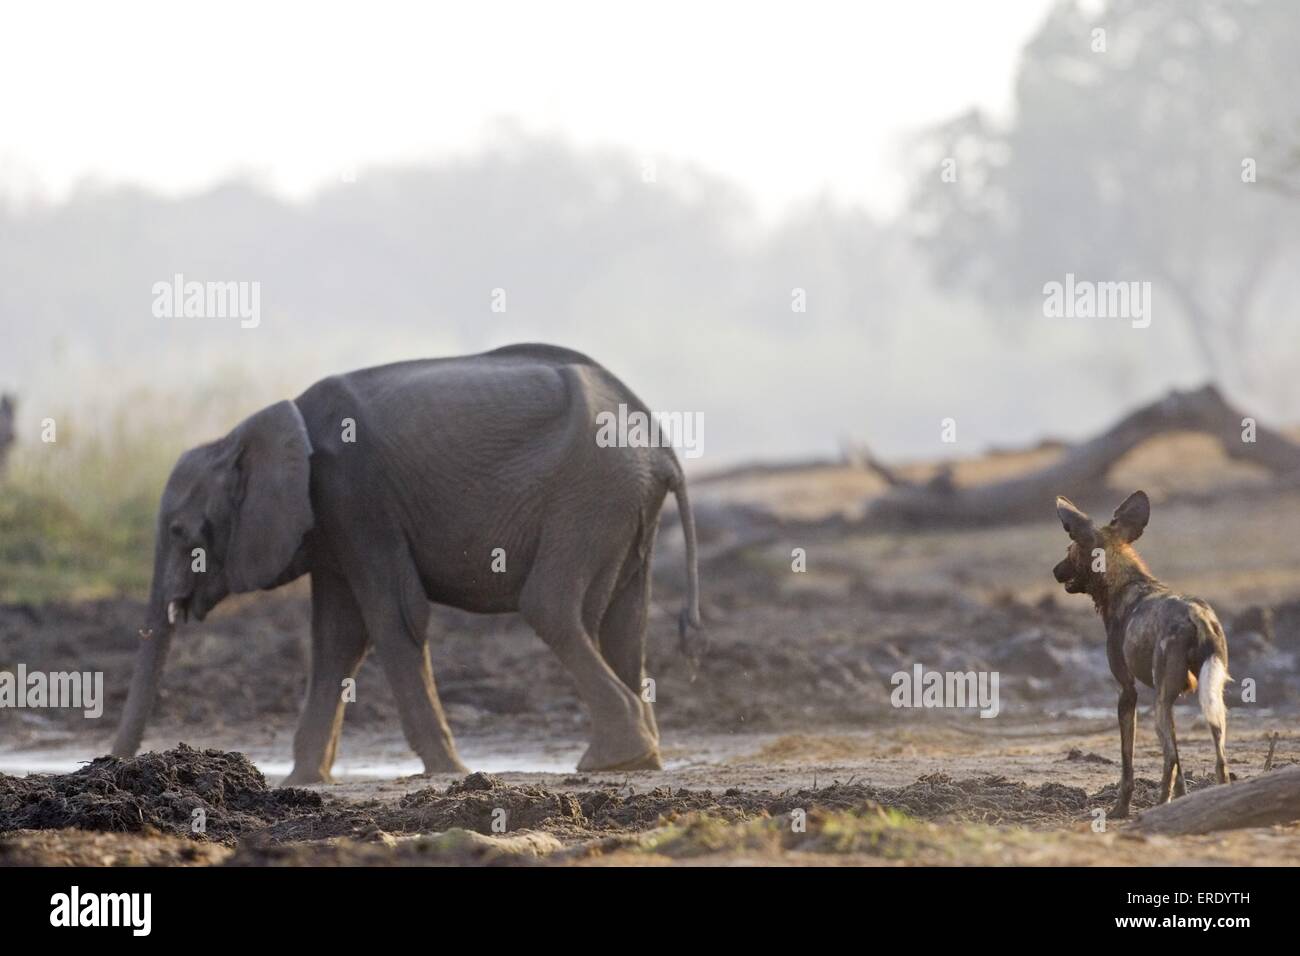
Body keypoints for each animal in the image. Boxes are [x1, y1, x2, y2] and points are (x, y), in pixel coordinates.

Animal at [111, 343, 702, 785]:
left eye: (179, 531)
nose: (108, 765)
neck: (246, 432)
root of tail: (661, 446)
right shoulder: (330, 522)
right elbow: (337, 638)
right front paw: (303, 782)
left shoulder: (356, 495)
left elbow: (394, 617)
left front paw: (447, 771)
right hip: (625, 504)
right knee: (622, 623)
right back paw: (639, 758)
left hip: (591, 493)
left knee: (551, 608)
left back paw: (612, 759)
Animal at [1055, 494, 1227, 816]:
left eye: (1069, 550)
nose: (1055, 570)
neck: (1122, 583)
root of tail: (1196, 615)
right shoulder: (1171, 699)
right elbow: (1181, 768)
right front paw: (1183, 800)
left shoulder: (1127, 690)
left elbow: (1128, 763)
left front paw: (1120, 809)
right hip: (1206, 701)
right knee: (1219, 758)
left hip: (1159, 706)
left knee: (1169, 757)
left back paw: (1159, 808)